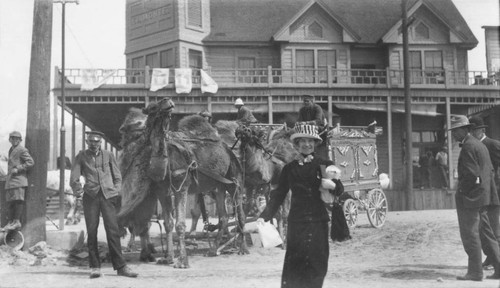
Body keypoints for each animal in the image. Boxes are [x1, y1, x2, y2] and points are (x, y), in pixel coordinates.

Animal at [117, 99, 250, 268]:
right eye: (152, 107)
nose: (168, 102)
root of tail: (229, 147)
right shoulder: (162, 191)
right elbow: (168, 223)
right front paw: (168, 258)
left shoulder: (182, 186)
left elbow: (180, 224)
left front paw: (182, 261)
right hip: (218, 185)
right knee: (224, 216)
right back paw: (213, 250)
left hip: (234, 178)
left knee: (241, 213)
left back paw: (243, 249)